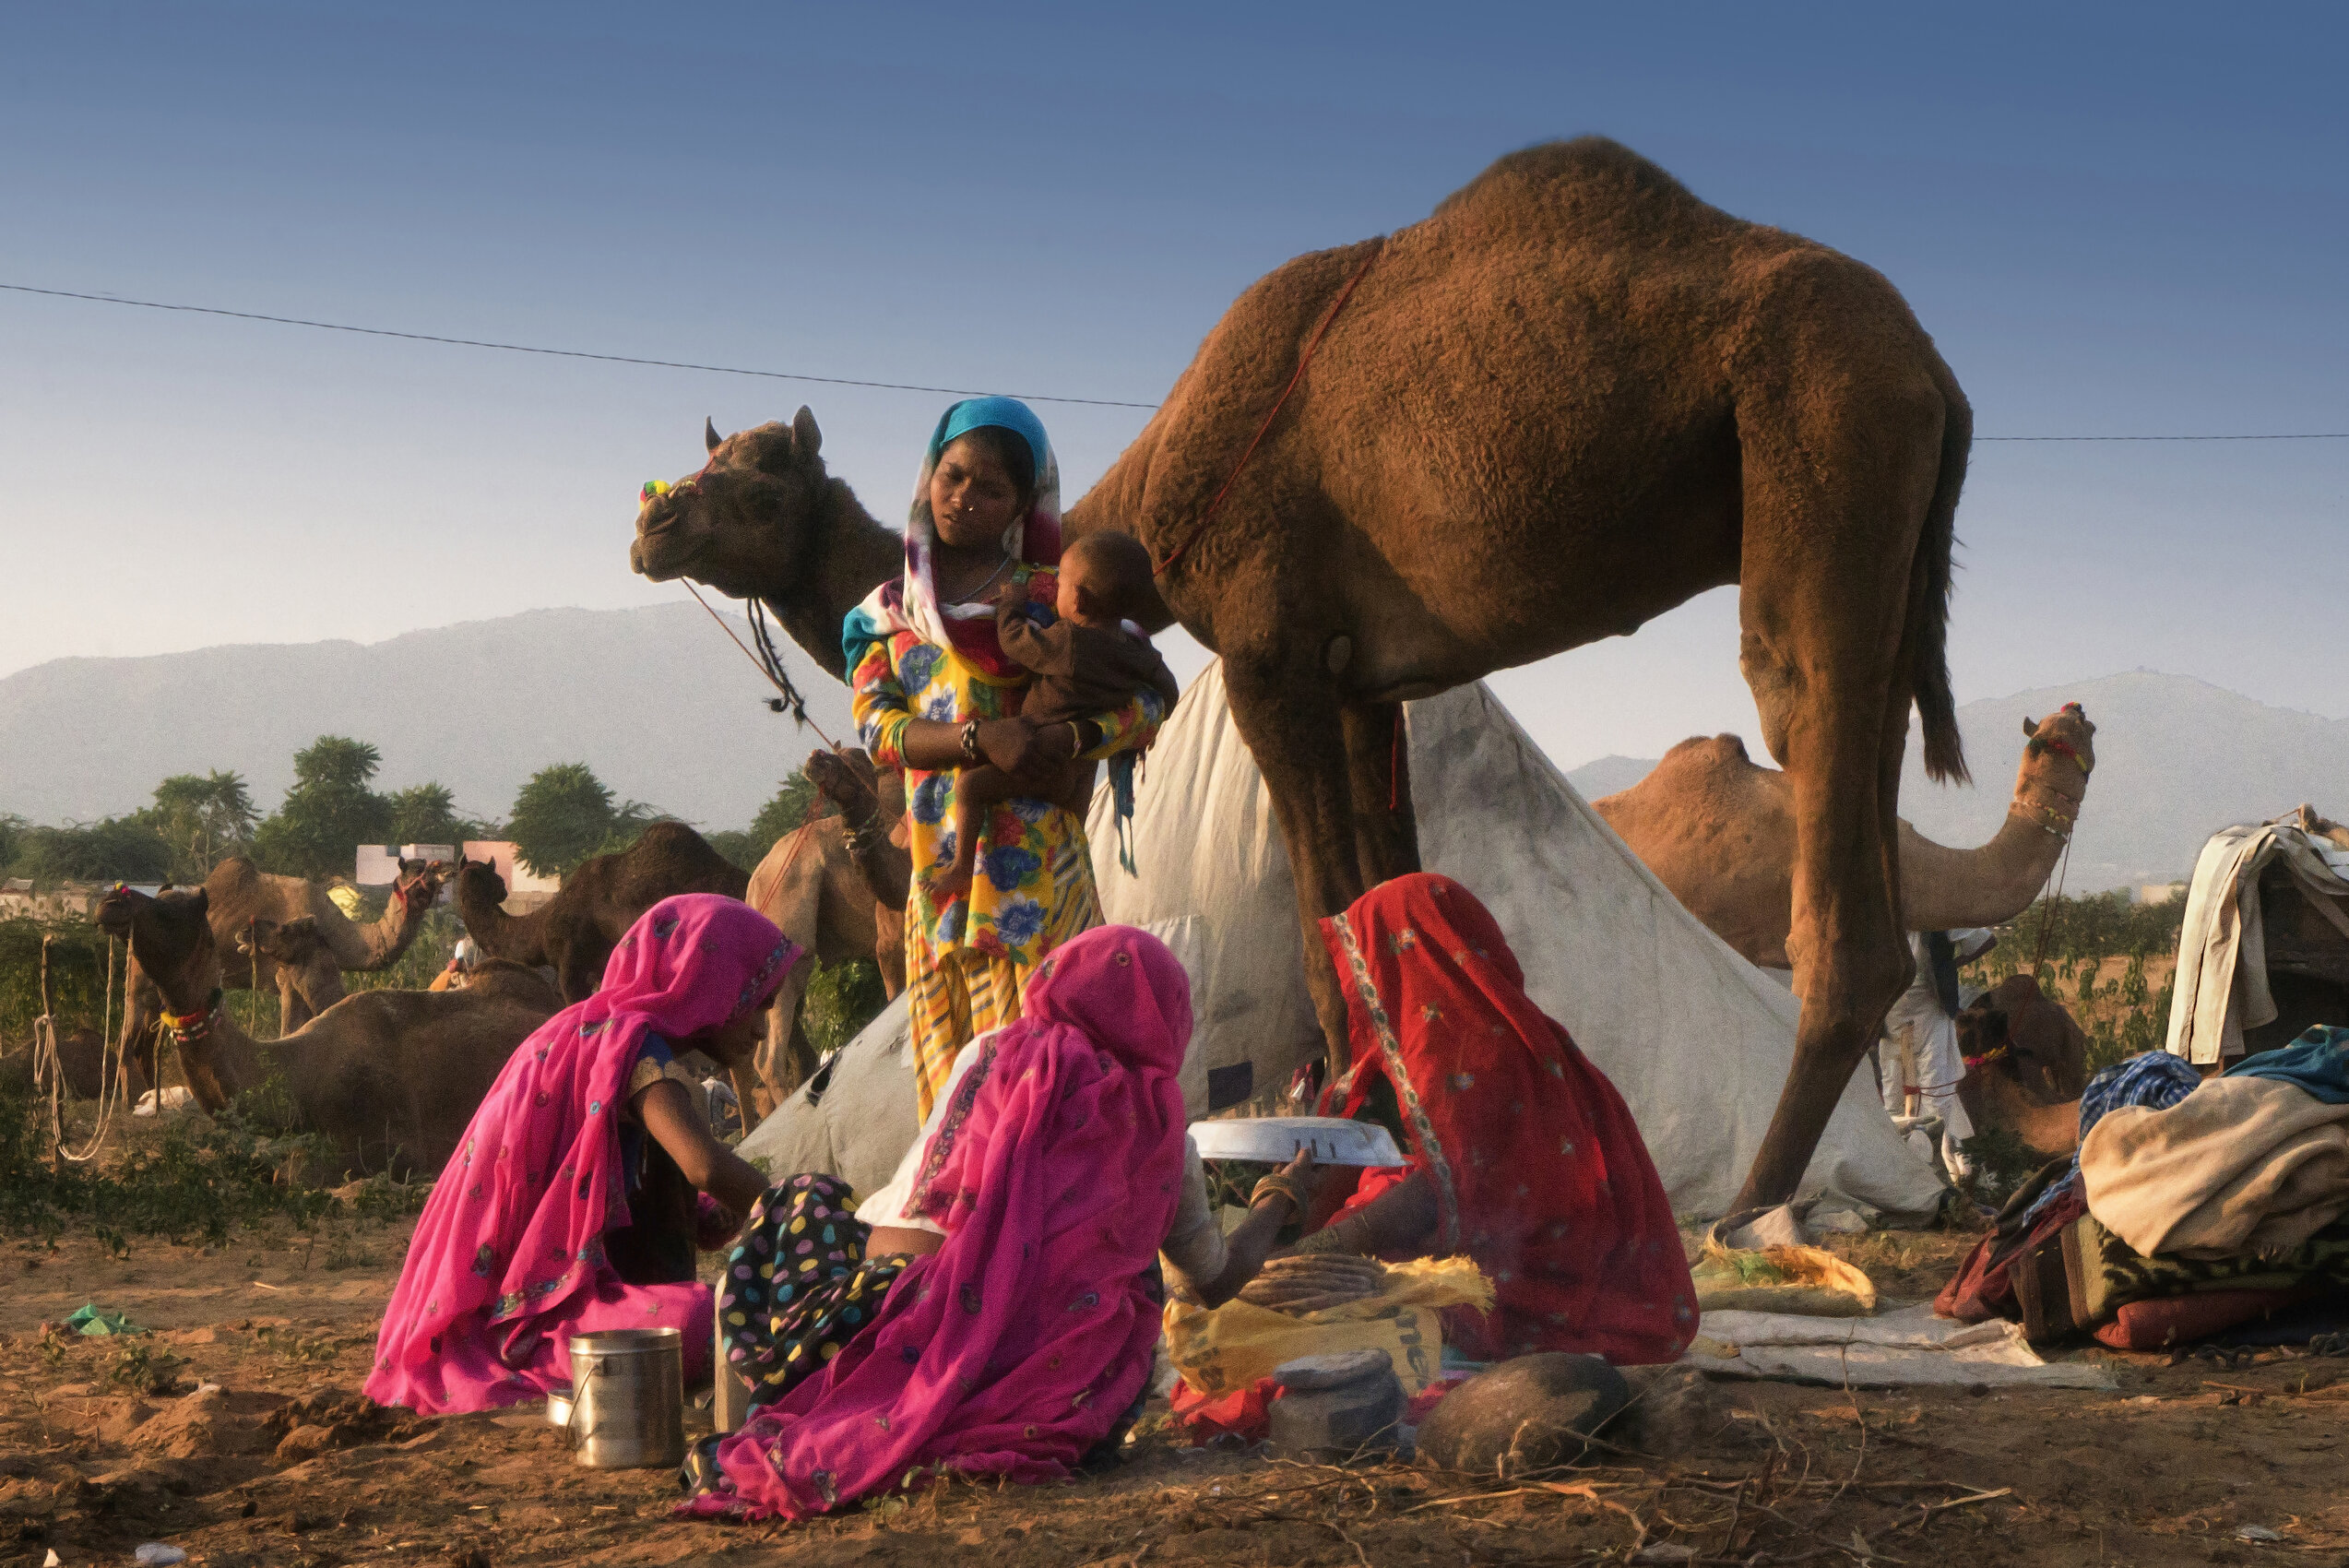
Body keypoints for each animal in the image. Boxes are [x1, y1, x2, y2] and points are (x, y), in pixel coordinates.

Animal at [121, 850, 445, 1099]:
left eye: (430, 867)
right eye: (416, 873)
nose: (443, 873)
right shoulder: (286, 977)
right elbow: (288, 1032)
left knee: (143, 1044)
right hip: (140, 976)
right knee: (127, 1040)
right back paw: (128, 1106)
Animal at [634, 137, 1973, 1213]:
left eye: (760, 484)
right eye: (711, 468)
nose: (651, 525)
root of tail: (1936, 376)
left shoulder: (1270, 653)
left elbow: (1330, 922)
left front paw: (1358, 1141)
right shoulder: (1369, 683)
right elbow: (1393, 893)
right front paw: (1442, 1139)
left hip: (1822, 449)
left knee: (1817, 786)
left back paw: (1752, 1208)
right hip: (1886, 553)